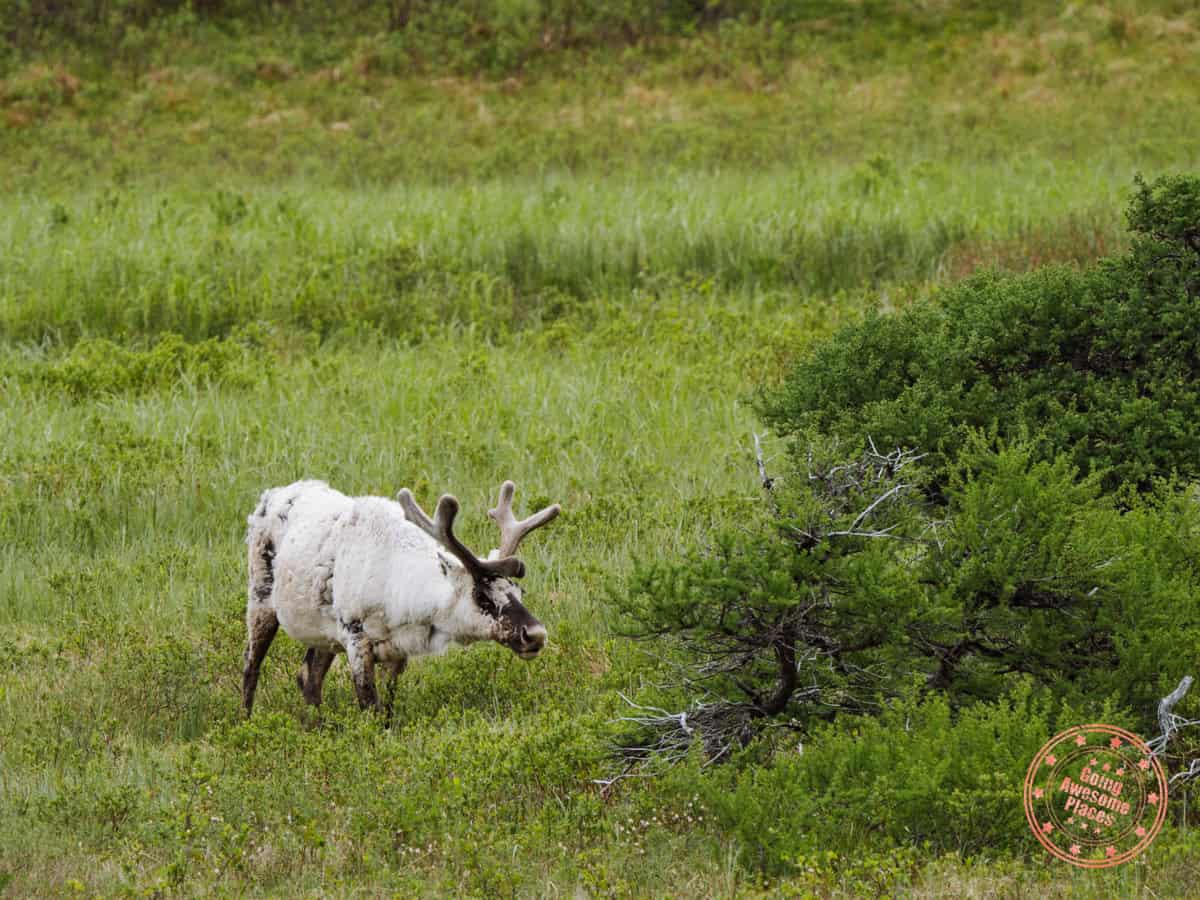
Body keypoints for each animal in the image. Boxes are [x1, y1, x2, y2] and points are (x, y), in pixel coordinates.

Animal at [241, 479, 560, 717]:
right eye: (481, 596)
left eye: (519, 591)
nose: (535, 634)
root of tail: (268, 496)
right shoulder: (356, 638)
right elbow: (370, 707)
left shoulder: (397, 652)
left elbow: (387, 708)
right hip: (260, 598)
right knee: (250, 666)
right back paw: (245, 720)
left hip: (324, 633)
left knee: (308, 677)